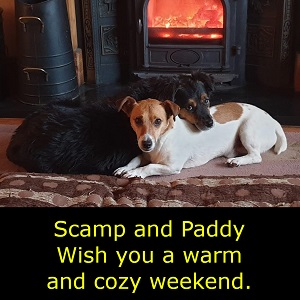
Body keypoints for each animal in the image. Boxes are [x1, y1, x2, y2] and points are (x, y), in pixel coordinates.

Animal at [113, 96, 288, 178]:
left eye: (158, 121)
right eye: (137, 120)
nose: (147, 144)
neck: (163, 139)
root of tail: (274, 121)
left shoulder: (172, 167)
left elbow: (149, 167)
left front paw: (136, 173)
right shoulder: (144, 154)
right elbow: (135, 160)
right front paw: (125, 168)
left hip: (247, 130)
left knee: (256, 156)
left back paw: (237, 161)